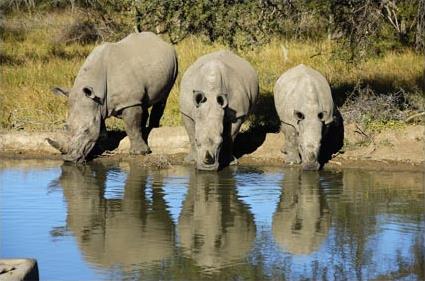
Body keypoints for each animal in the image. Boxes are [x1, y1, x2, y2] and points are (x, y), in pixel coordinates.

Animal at [46, 31, 177, 162]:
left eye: (86, 130)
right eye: (65, 127)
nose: (69, 159)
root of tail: (161, 41)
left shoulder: (128, 101)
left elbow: (131, 125)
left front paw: (140, 153)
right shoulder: (98, 103)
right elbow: (101, 125)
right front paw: (103, 145)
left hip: (174, 61)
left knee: (163, 98)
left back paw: (154, 127)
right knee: (143, 103)